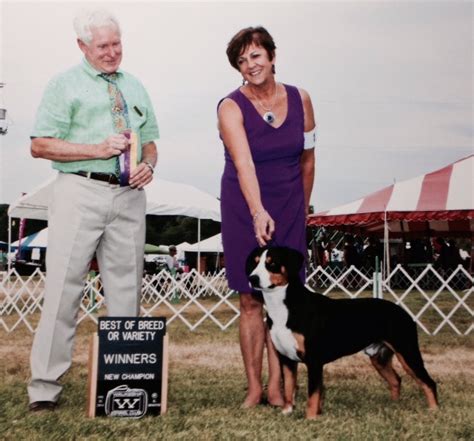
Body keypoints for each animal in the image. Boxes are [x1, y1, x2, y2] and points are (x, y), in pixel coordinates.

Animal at [246, 246, 438, 418]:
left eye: (272, 263)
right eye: (255, 263)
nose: (252, 278)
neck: (284, 308)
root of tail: (403, 312)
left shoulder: (314, 360)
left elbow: (313, 394)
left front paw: (310, 418)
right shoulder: (286, 359)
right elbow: (288, 388)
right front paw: (287, 411)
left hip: (407, 352)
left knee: (429, 382)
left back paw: (433, 411)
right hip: (379, 358)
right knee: (396, 380)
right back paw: (394, 406)